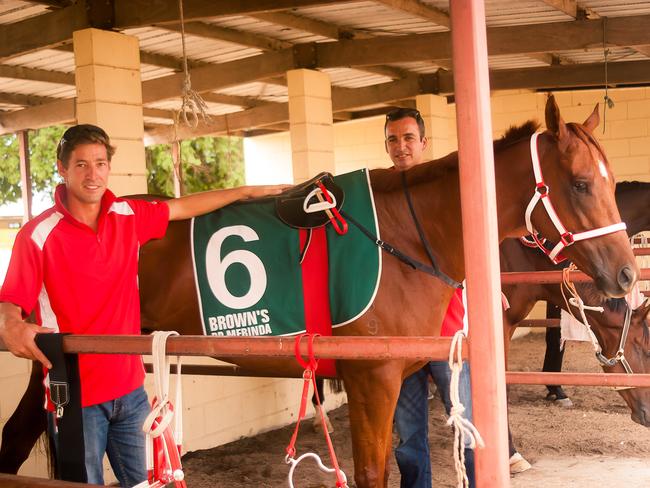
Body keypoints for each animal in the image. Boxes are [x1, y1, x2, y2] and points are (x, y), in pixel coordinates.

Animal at [0, 94, 636, 484]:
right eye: (581, 183)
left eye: (608, 184)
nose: (629, 277)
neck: (406, 236)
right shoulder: (371, 379)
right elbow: (373, 473)